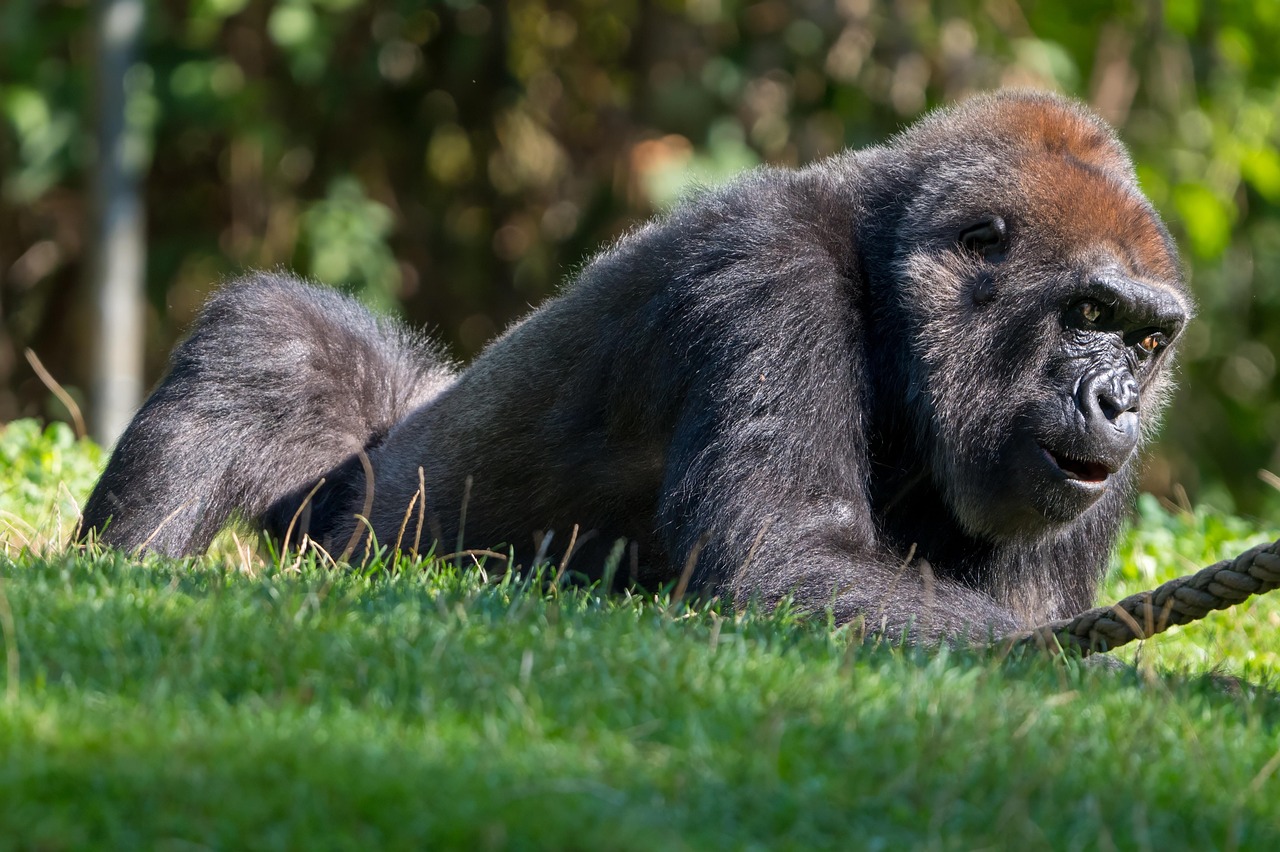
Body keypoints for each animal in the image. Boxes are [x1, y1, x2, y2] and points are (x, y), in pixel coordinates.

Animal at [80, 90, 1192, 644]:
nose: (1117, 404)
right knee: (271, 339)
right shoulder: (766, 266)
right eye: (1088, 312)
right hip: (356, 510)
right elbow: (787, 559)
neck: (885, 278)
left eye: (1146, 339)